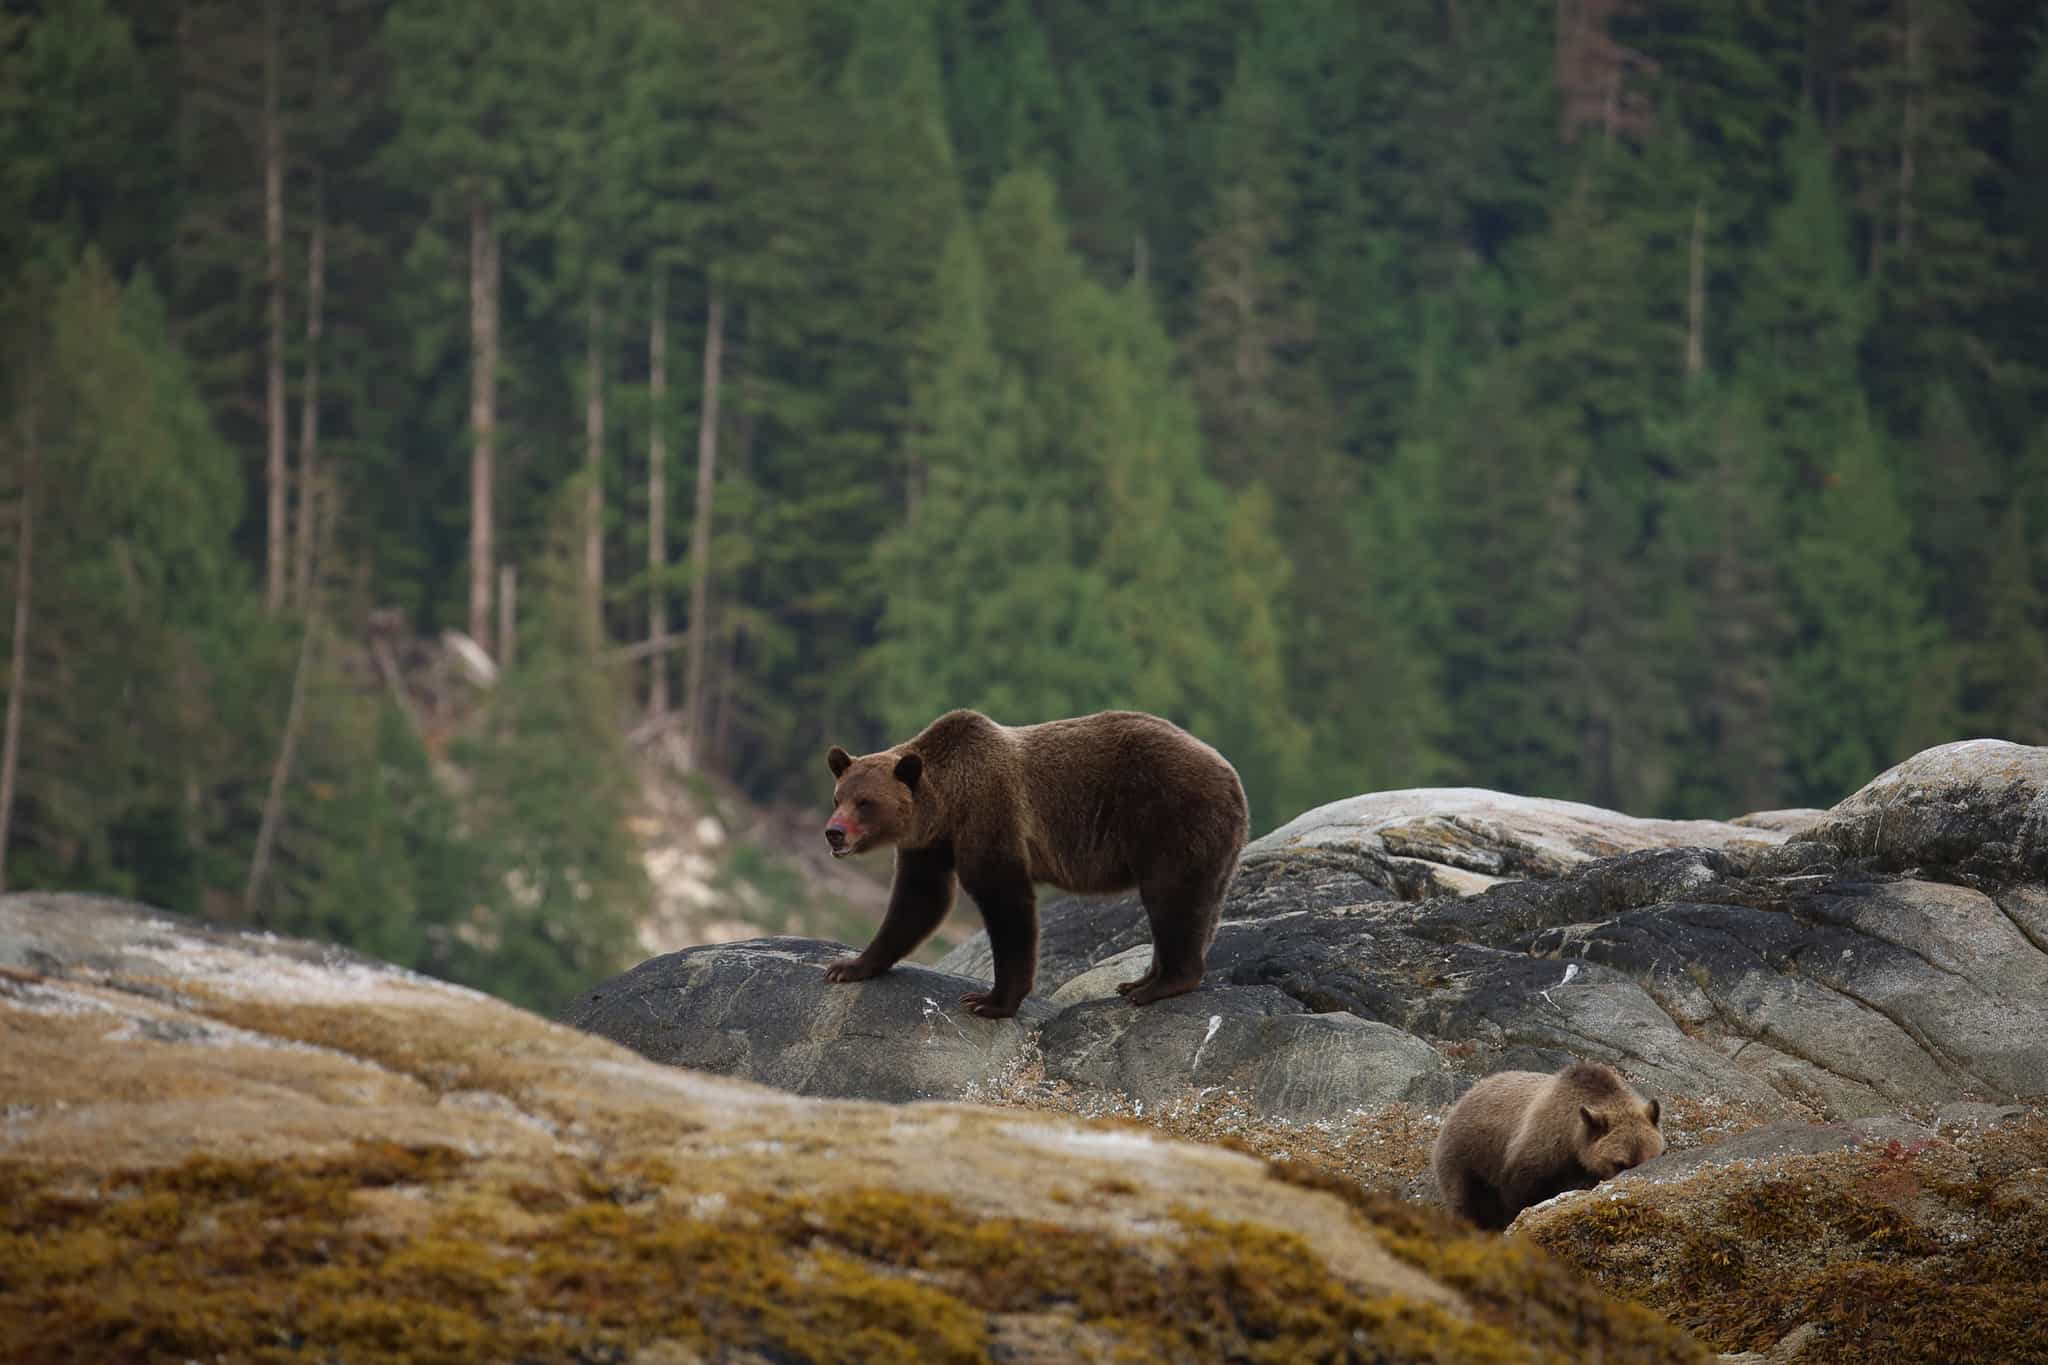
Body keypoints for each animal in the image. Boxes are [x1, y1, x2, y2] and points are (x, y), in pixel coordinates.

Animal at [820, 708, 1250, 1019]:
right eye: (839, 797)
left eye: (865, 803)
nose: (833, 832)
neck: (947, 806)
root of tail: (1232, 774)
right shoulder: (929, 844)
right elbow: (918, 901)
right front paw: (849, 966)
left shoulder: (990, 816)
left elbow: (1005, 902)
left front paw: (990, 1001)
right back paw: (1139, 980)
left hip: (1171, 817)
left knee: (1171, 896)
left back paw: (1159, 986)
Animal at [1430, 1060, 1665, 1231]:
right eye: (1620, 1163)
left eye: (1651, 1157)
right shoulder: (1538, 1150)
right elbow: (1518, 1195)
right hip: (1466, 1156)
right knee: (1465, 1201)